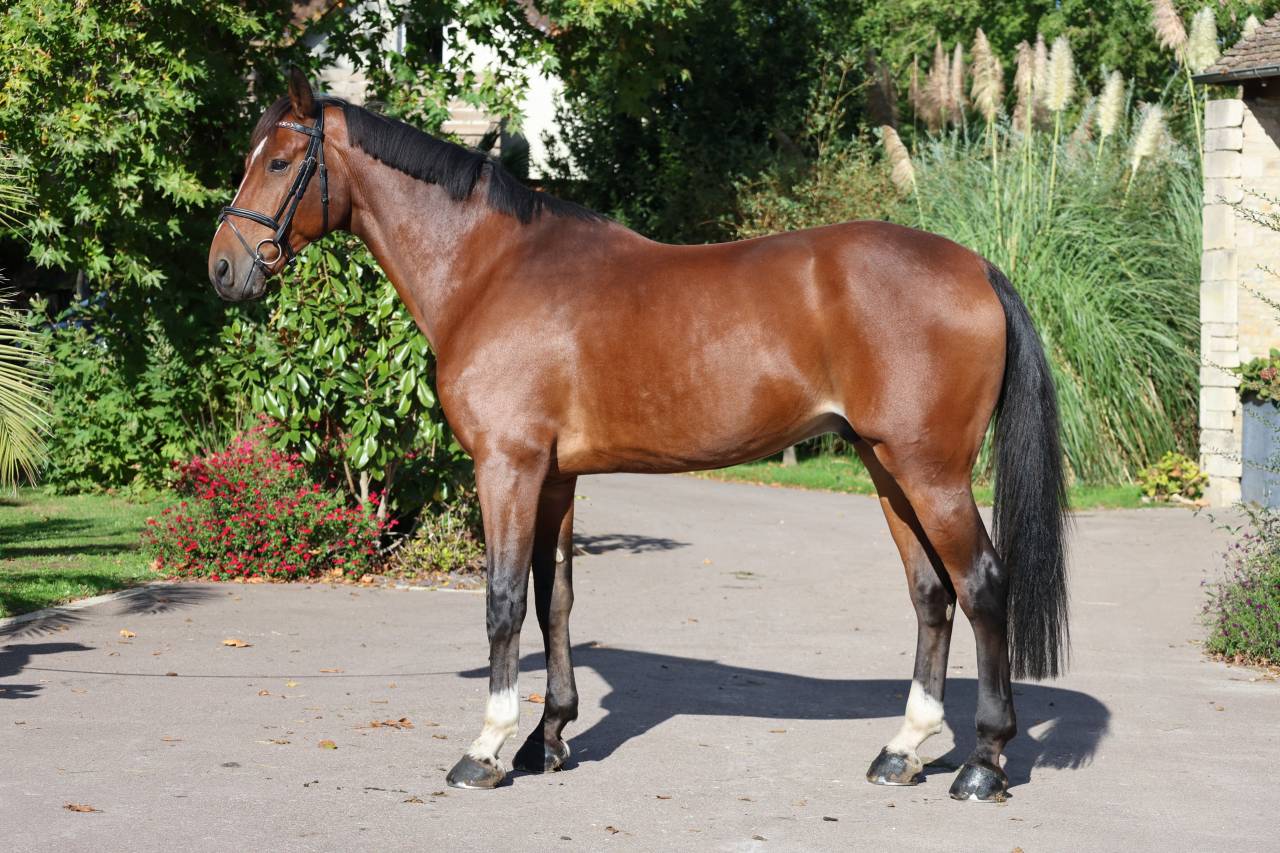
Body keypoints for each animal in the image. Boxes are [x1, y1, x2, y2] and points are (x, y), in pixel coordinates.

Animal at [208, 70, 1068, 803]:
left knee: (982, 585)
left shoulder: (507, 466)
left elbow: (501, 600)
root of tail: (978, 267)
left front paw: (486, 749)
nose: (222, 267)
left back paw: (984, 763)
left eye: (280, 160)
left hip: (932, 471)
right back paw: (903, 750)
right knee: (931, 593)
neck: (491, 269)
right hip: (887, 466)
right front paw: (548, 738)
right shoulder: (555, 475)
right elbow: (553, 598)